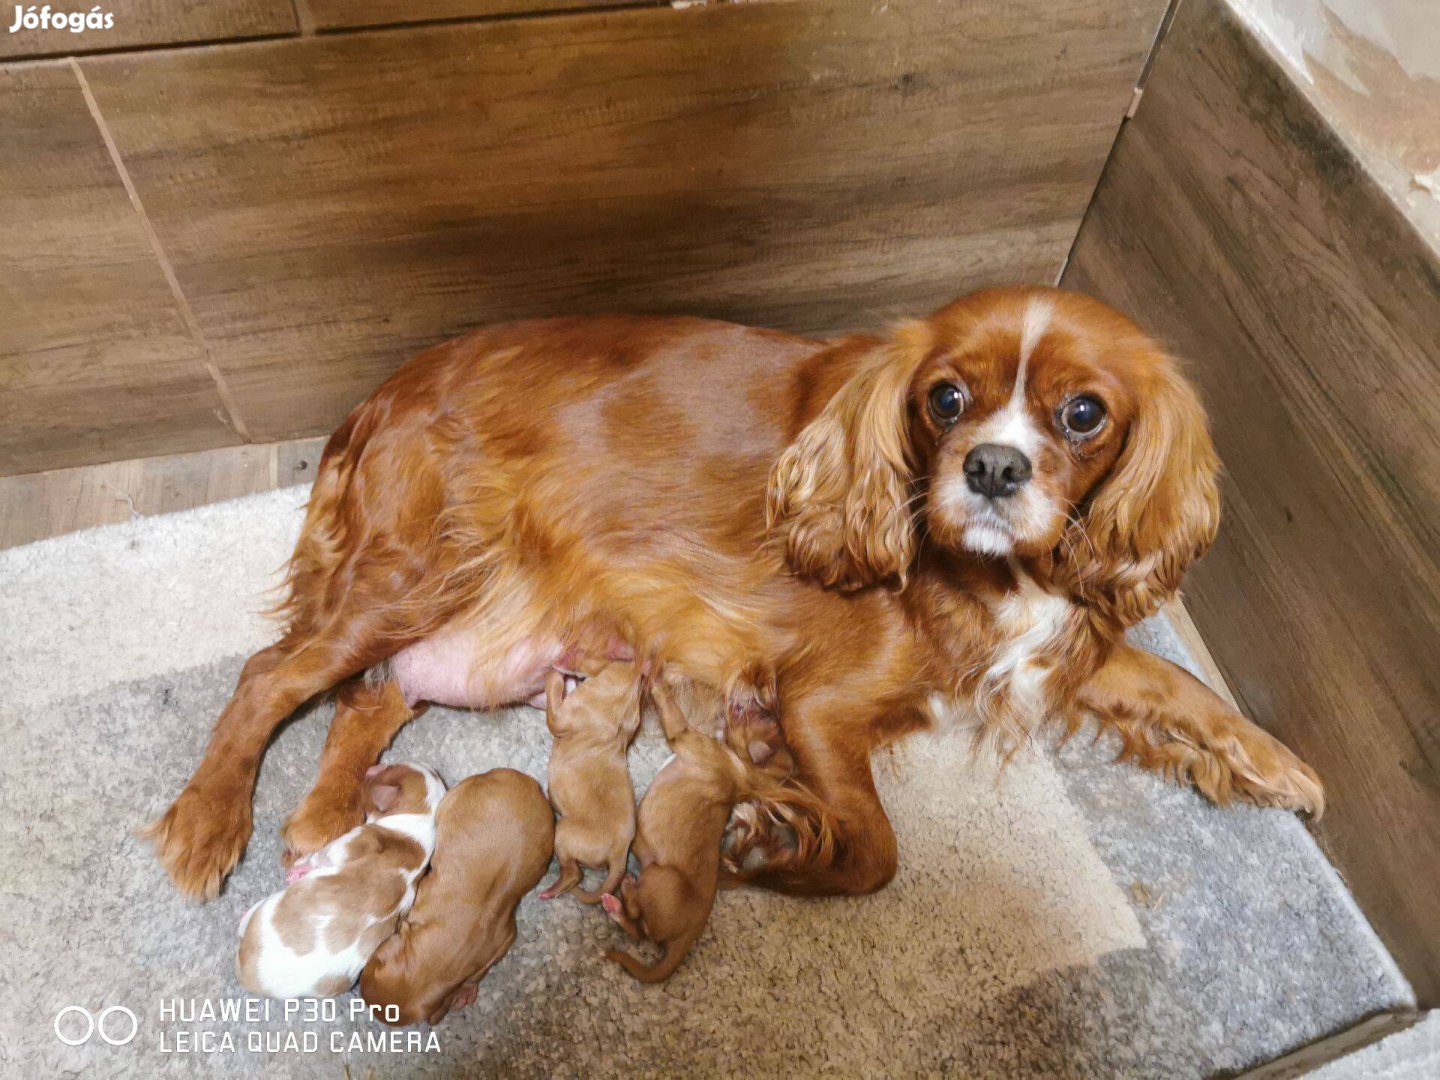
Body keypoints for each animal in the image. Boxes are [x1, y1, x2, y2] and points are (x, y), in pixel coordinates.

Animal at [234, 766, 443, 1002]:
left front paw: (300, 868)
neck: (419, 824)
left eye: (385, 769)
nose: (370, 769)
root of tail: (249, 975)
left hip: (264, 909)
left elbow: (319, 857)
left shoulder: (350, 841)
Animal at [541, 659, 642, 904]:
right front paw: (569, 681)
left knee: (573, 875)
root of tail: (619, 854)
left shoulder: (560, 718)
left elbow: (554, 696)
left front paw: (554, 675)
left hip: (564, 833)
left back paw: (551, 890)